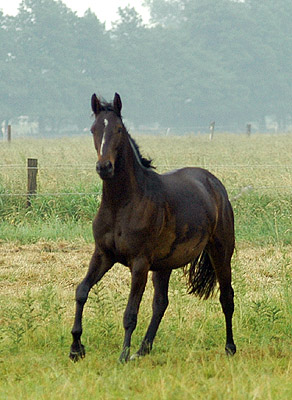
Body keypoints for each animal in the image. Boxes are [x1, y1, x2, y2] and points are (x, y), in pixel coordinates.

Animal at [69, 94, 236, 362]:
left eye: (118, 129)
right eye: (94, 129)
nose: (104, 167)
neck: (122, 204)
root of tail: (213, 183)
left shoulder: (139, 263)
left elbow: (130, 313)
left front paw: (122, 355)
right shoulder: (103, 255)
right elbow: (82, 291)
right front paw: (76, 348)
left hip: (220, 252)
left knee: (226, 297)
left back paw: (230, 347)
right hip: (164, 264)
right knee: (161, 303)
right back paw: (143, 349)